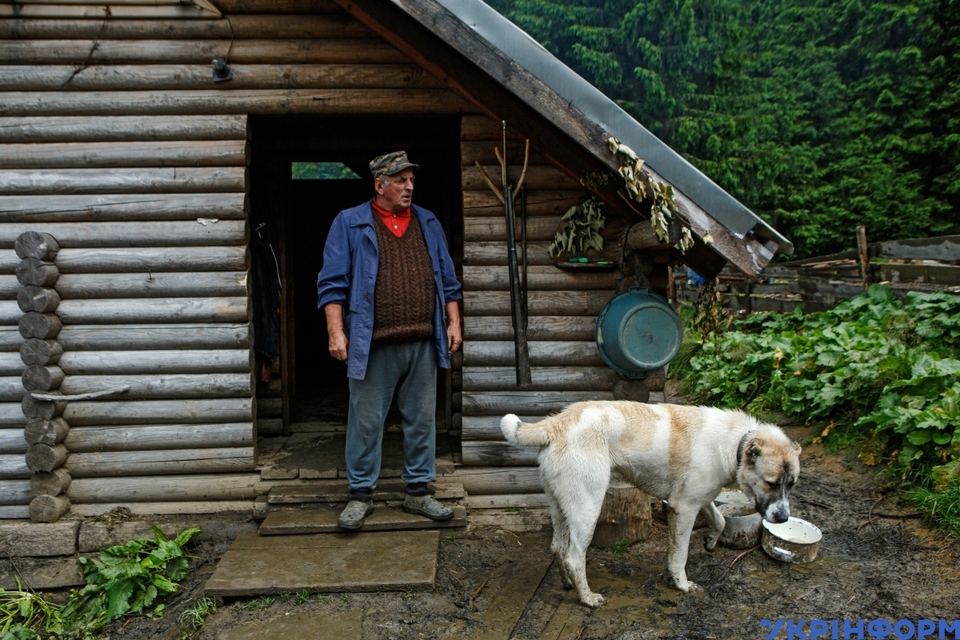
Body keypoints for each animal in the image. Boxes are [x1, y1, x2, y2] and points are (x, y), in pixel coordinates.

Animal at [502, 402, 804, 608]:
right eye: (771, 483)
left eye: (791, 484)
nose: (782, 519)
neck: (735, 443)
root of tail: (559, 421)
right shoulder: (684, 508)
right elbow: (679, 555)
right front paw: (681, 584)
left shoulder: (697, 499)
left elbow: (719, 520)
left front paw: (710, 542)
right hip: (587, 508)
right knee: (575, 556)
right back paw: (587, 598)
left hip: (561, 507)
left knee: (558, 548)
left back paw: (568, 584)